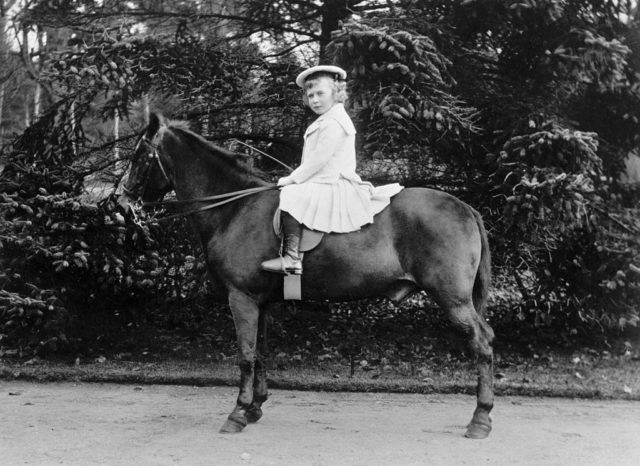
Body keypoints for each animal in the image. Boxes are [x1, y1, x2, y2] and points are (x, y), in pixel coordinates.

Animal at [121, 114, 500, 440]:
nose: (122, 200)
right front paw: (255, 407)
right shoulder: (260, 303)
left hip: (453, 300)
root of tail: (465, 207)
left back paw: (480, 418)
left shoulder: (241, 299)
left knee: (481, 344)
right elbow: (260, 352)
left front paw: (238, 413)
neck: (235, 209)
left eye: (139, 155)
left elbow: (245, 355)